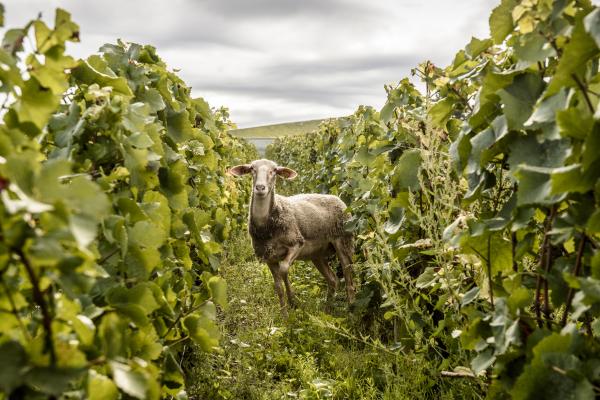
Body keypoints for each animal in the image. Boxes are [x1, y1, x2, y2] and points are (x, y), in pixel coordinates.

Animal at [227, 158, 354, 314]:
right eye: (252, 169)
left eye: (274, 170)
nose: (260, 188)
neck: (267, 228)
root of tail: (338, 198)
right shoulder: (268, 256)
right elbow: (278, 287)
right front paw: (285, 314)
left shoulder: (297, 243)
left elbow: (284, 269)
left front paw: (293, 301)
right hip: (317, 254)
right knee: (333, 279)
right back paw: (327, 310)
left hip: (344, 240)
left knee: (349, 278)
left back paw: (351, 308)